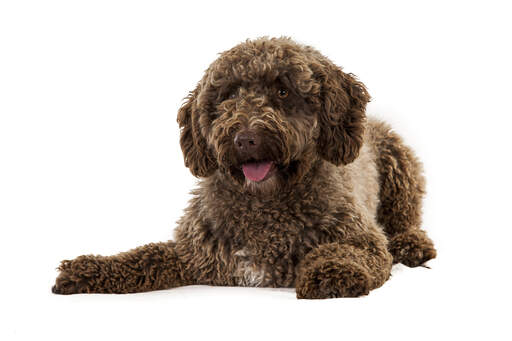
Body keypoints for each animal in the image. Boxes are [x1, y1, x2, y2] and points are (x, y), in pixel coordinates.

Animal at [52, 36, 436, 298]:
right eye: (228, 96)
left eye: (283, 91)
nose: (245, 138)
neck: (264, 207)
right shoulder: (192, 254)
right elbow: (145, 257)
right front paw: (90, 268)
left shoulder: (364, 240)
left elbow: (349, 249)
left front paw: (334, 271)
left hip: (399, 164)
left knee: (405, 218)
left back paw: (411, 243)